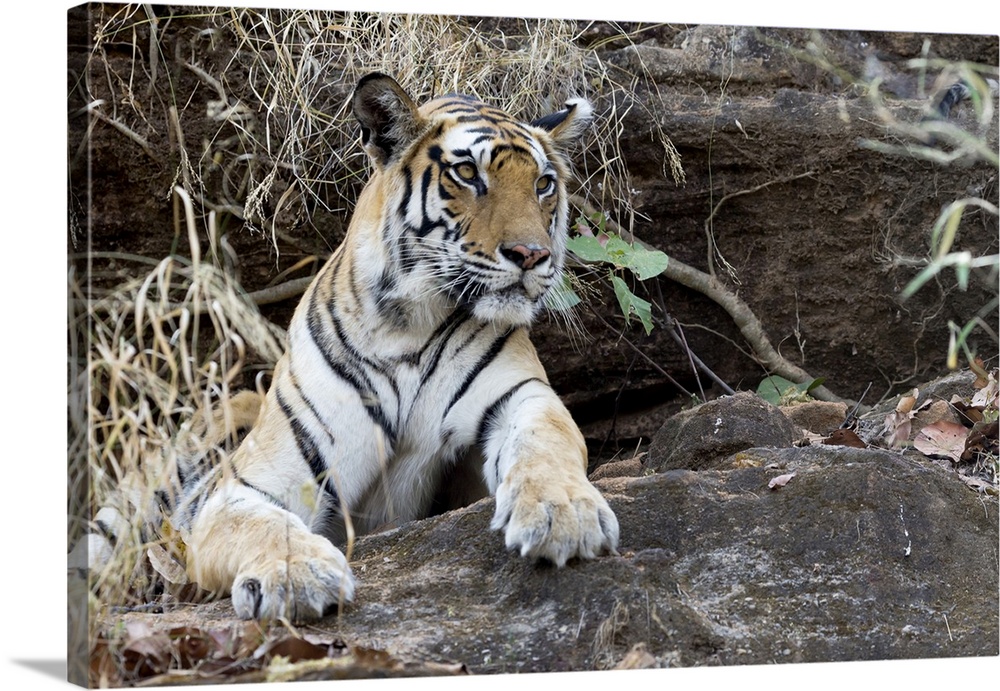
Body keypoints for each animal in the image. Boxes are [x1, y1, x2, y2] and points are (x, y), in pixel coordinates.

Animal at [88, 73, 616, 624]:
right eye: (469, 173)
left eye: (543, 184)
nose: (532, 255)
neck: (411, 323)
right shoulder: (247, 484)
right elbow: (262, 524)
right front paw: (298, 575)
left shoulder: (519, 397)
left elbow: (545, 444)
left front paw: (564, 513)